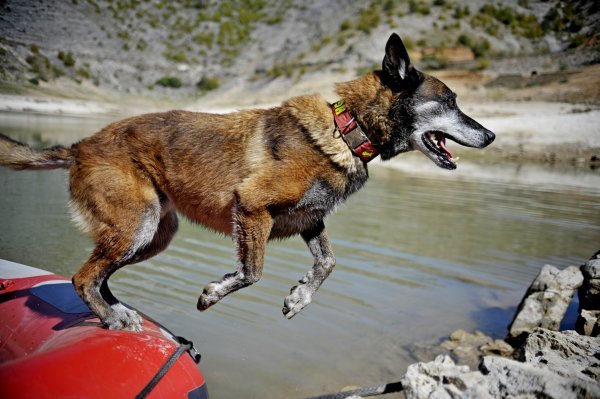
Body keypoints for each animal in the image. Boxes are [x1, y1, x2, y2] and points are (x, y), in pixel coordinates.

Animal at [2, 33, 494, 332]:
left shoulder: (310, 220)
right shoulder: (253, 207)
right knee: (83, 276)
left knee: (99, 274)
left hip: (155, 232)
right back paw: (110, 317)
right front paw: (215, 293)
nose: (490, 135)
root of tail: (80, 144)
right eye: (449, 101)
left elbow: (328, 263)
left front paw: (299, 298)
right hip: (136, 225)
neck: (346, 130)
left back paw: (117, 310)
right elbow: (252, 271)